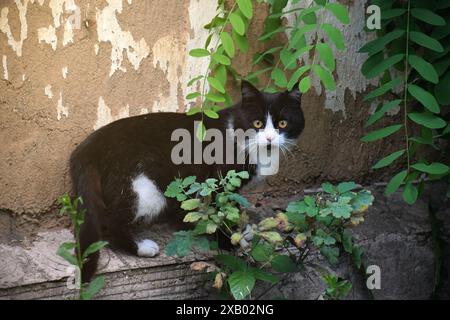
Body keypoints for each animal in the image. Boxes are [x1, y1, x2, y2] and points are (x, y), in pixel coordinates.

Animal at [70, 81, 306, 282]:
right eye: (257, 123)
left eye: (283, 123)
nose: (270, 139)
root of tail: (87, 149)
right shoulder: (218, 179)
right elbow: (219, 209)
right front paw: (229, 241)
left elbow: (230, 205)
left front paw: (241, 228)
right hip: (143, 185)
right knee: (109, 222)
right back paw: (142, 247)